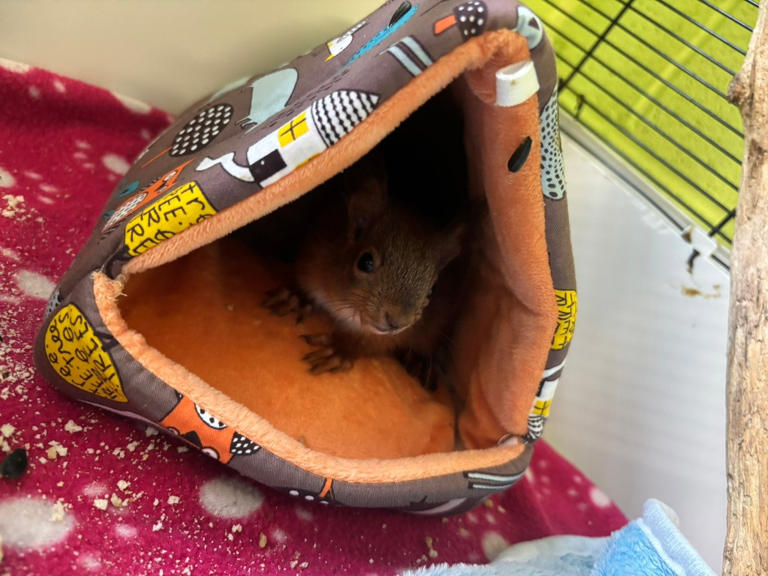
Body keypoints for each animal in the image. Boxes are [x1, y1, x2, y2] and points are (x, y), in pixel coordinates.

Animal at [263, 151, 467, 389]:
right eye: (365, 262)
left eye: (433, 290)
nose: (397, 322)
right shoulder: (314, 259)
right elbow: (304, 286)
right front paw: (296, 298)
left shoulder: (394, 334)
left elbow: (370, 344)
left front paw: (339, 350)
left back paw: (421, 361)